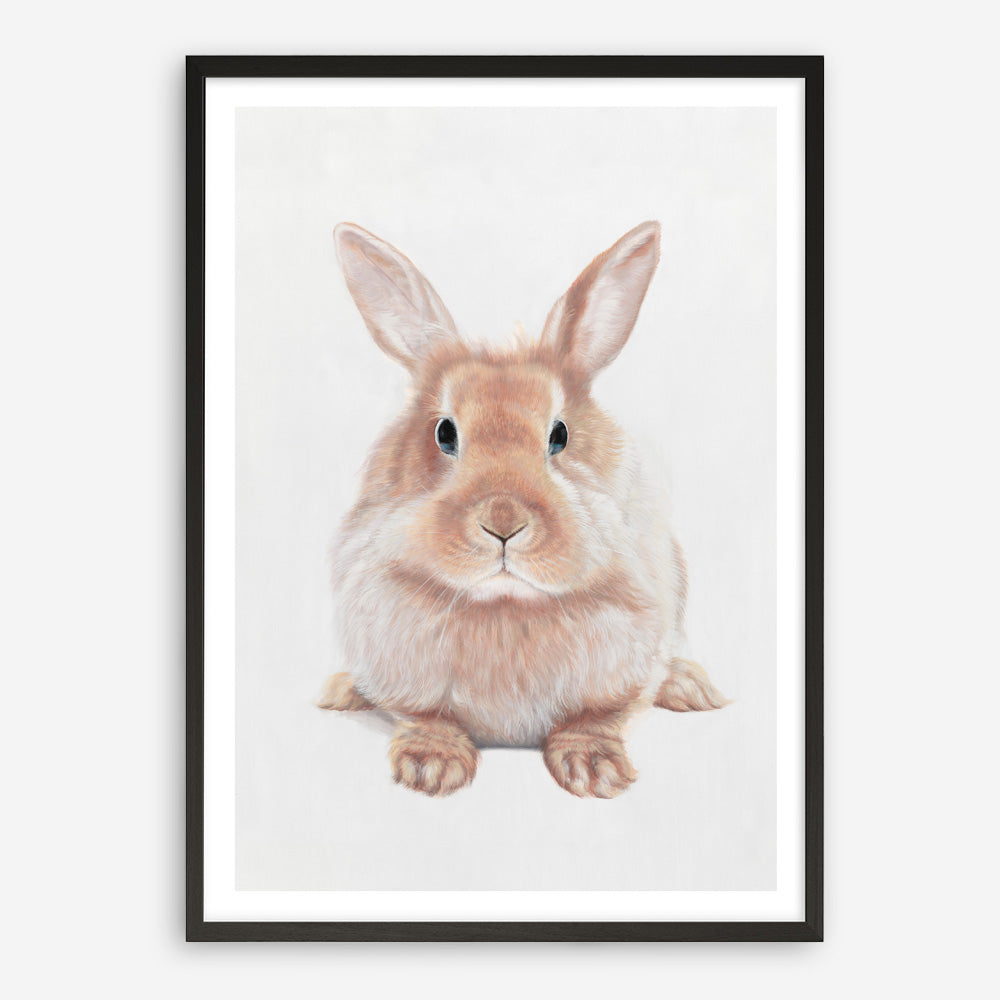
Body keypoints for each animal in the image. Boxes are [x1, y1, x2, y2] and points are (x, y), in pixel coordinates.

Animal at [318, 221, 729, 799]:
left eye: (560, 435)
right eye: (444, 433)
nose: (503, 523)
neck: (505, 606)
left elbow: (595, 717)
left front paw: (595, 771)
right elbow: (425, 716)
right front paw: (431, 767)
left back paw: (692, 687)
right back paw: (340, 690)